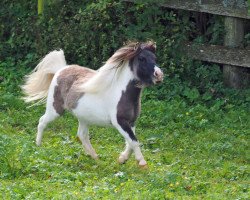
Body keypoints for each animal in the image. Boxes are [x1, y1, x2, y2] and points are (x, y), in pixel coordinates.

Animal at [22, 41, 164, 166]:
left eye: (154, 58)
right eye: (142, 58)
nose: (159, 75)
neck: (121, 92)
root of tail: (61, 69)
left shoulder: (131, 122)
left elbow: (130, 141)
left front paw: (122, 159)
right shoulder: (119, 122)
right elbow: (134, 141)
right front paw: (142, 163)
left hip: (84, 117)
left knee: (82, 135)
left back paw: (95, 157)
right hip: (55, 110)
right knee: (42, 121)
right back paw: (38, 145)